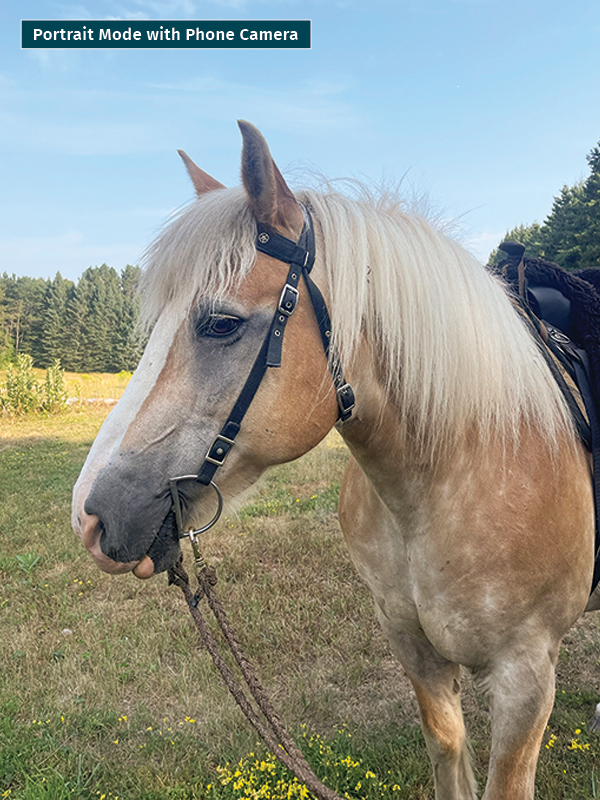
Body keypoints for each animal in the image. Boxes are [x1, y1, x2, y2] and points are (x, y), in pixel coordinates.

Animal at [72, 121, 598, 800]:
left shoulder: (525, 679)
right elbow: (448, 750)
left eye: (220, 324)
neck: (463, 466)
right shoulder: (413, 650)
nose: (91, 516)